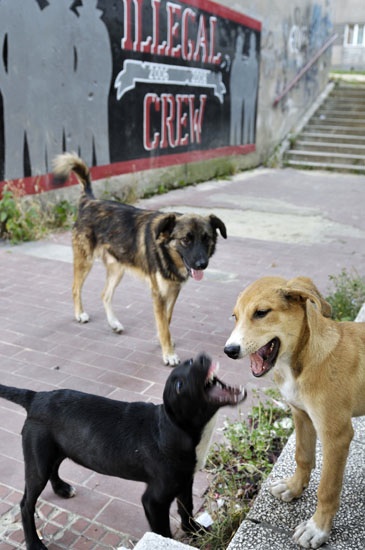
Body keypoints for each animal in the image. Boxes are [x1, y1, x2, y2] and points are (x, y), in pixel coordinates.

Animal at [0, 356, 245, 548]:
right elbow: (163, 531)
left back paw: (61, 488)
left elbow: (186, 509)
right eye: (179, 385)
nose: (202, 358)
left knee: (54, 468)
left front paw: (195, 531)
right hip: (38, 461)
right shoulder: (154, 500)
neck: (177, 428)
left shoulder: (185, 481)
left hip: (57, 449)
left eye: (190, 361)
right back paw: (34, 543)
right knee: (26, 504)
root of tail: (36, 397)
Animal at [53, 153, 226, 366]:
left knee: (105, 294)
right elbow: (163, 323)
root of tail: (89, 201)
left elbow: (166, 319)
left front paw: (163, 340)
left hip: (117, 269)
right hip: (85, 261)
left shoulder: (173, 291)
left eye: (206, 238)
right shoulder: (158, 294)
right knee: (75, 288)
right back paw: (79, 314)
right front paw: (168, 353)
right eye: (186, 240)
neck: (167, 251)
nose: (202, 264)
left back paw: (114, 323)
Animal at [223, 278, 364, 548]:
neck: (303, 361)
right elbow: (303, 456)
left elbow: (327, 488)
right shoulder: (301, 415)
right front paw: (294, 487)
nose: (229, 350)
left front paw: (317, 528)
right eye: (234, 316)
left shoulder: (336, 436)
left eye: (261, 313)